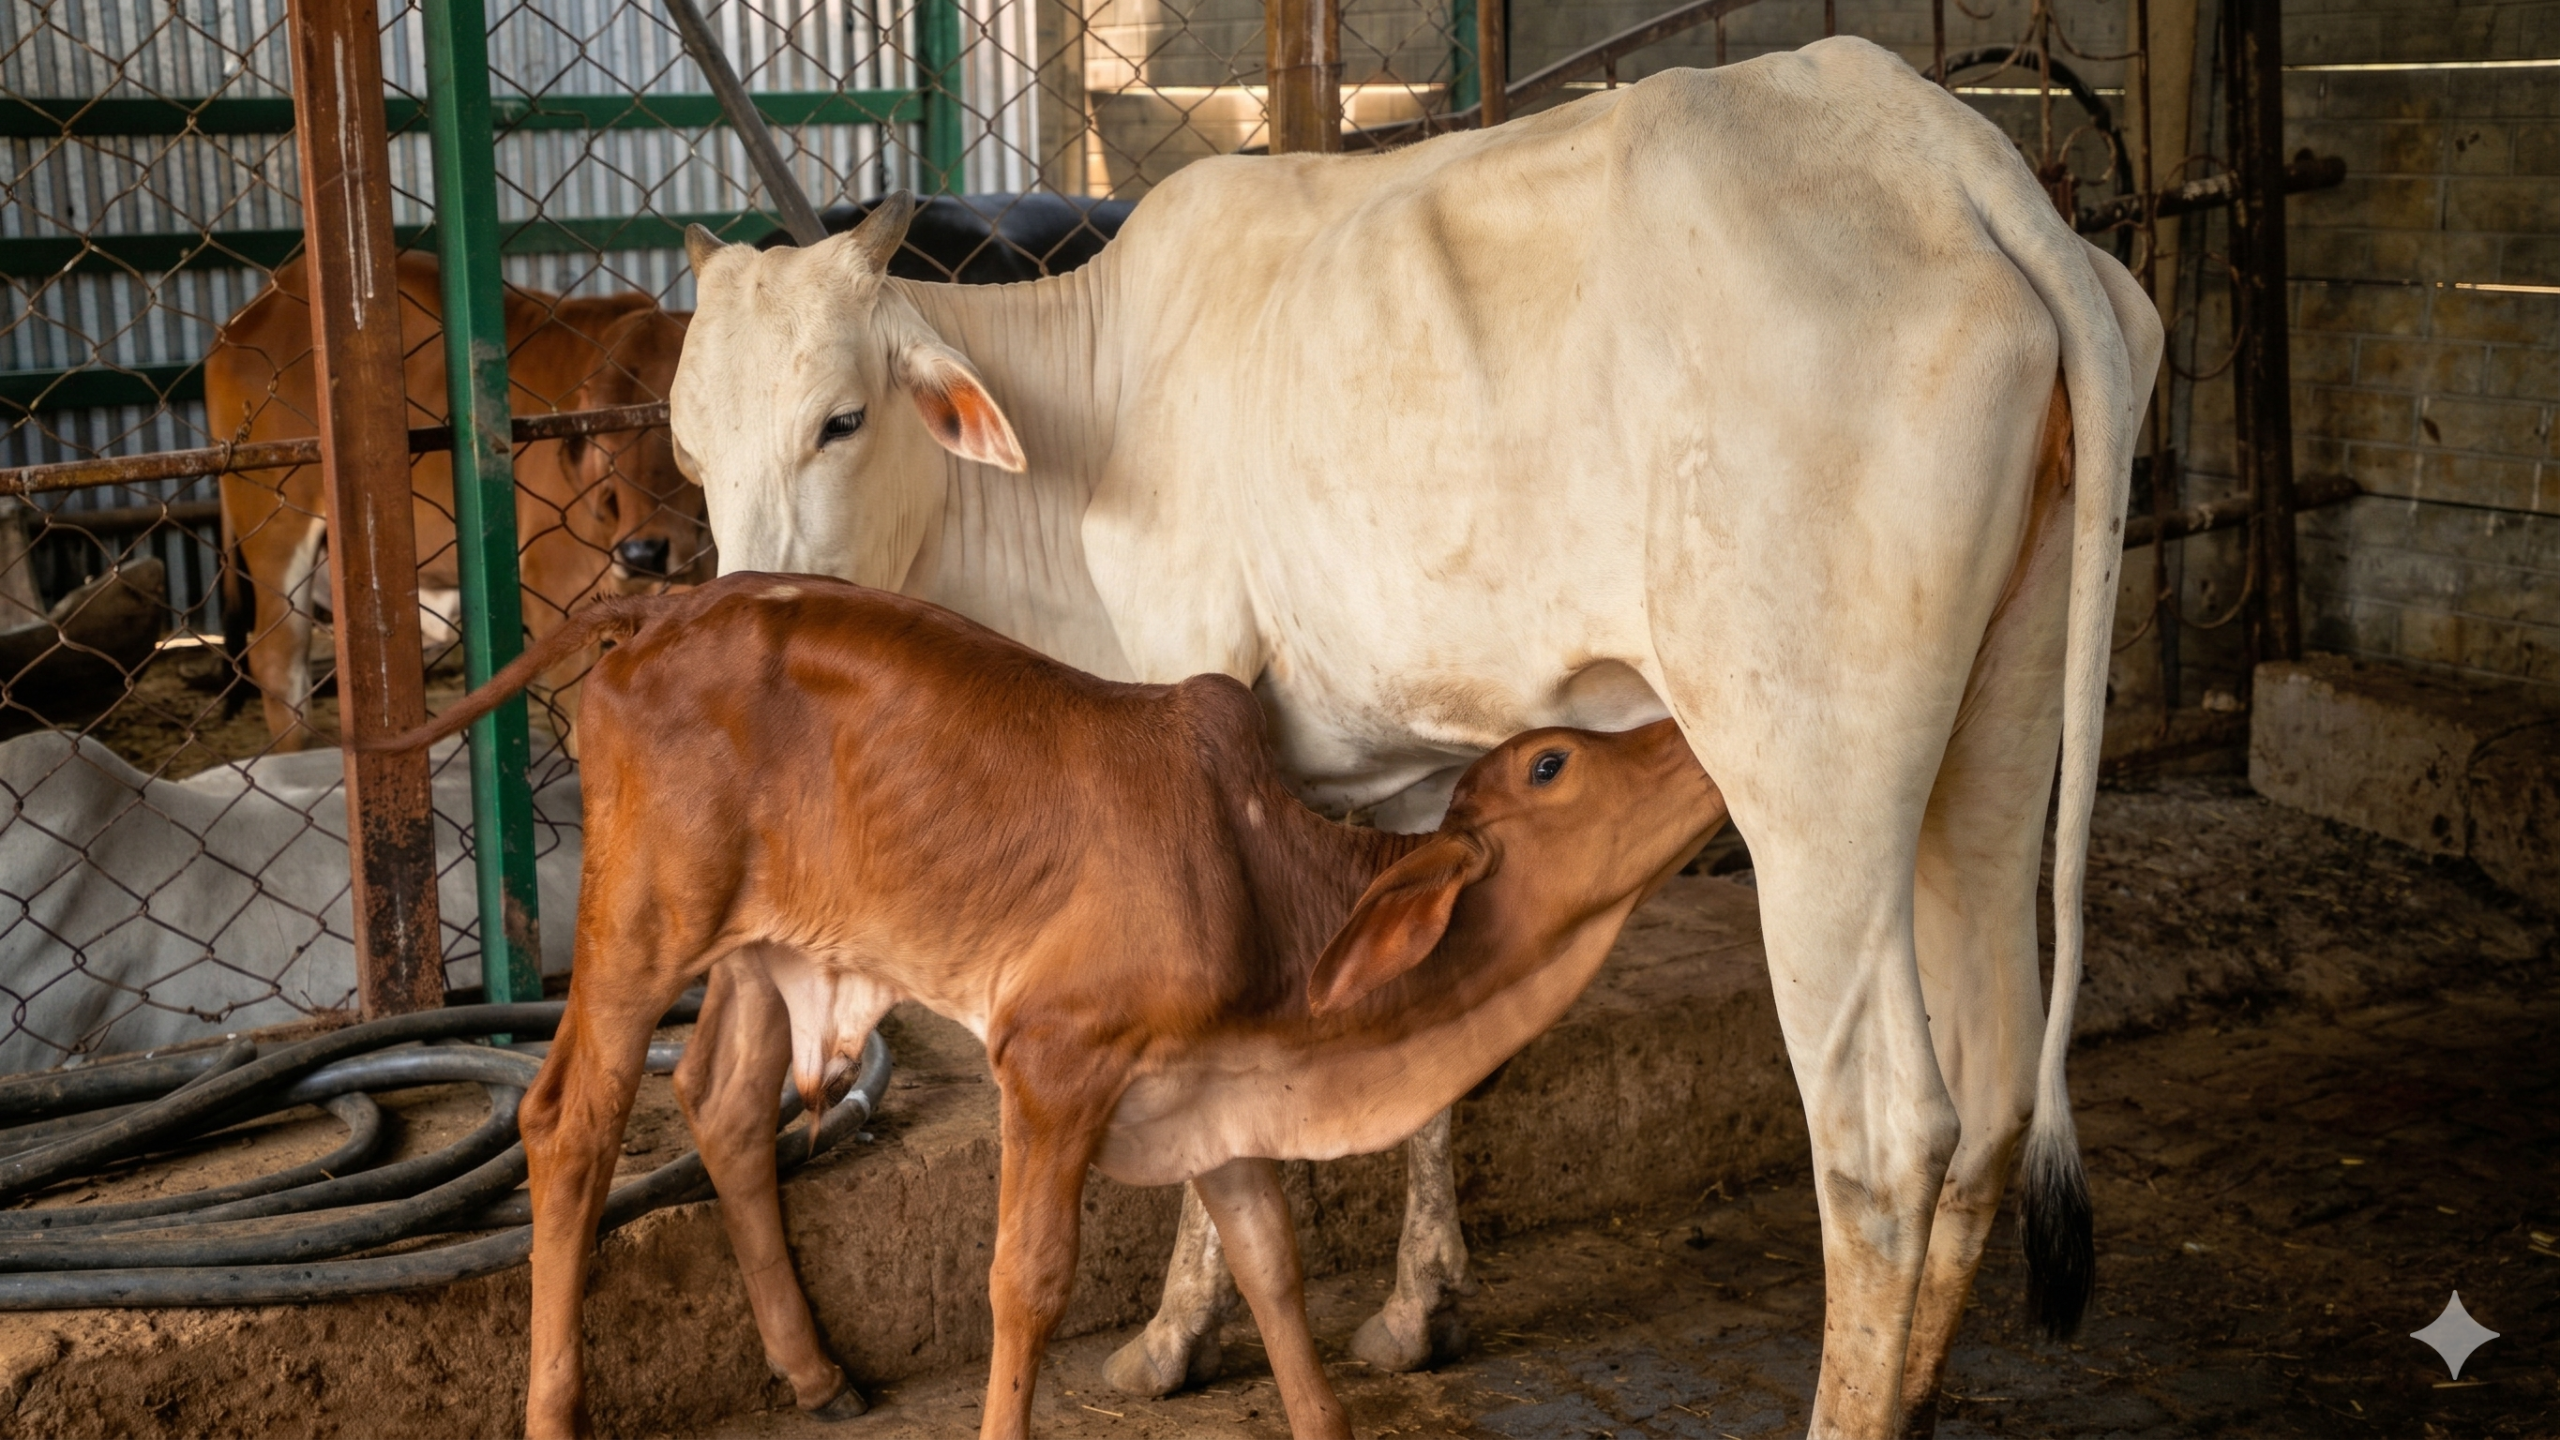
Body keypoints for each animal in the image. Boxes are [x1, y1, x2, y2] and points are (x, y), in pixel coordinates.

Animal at [204, 254, 705, 753]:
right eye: (605, 438)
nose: (643, 554)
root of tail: (243, 320)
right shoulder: (557, 593)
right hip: (278, 537)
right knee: (278, 663)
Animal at [364, 572, 1728, 1440]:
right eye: (1553, 763)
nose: (1700, 741)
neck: (1267, 881)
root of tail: (658, 604)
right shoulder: (1055, 1062)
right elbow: (1026, 1282)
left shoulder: (1214, 1092)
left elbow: (1272, 1268)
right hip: (644, 922)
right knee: (570, 1125)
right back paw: (558, 1409)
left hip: (762, 947)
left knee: (724, 1103)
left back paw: (814, 1375)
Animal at [664, 40, 2162, 1438]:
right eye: (686, 445)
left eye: (842, 419)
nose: (748, 604)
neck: (1090, 415)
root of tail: (1947, 157)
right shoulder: (1401, 769)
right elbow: (1423, 1043)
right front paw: (1417, 1308)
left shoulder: (1194, 717)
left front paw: (1169, 1340)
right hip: (1998, 734)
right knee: (1997, 1082)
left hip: (1812, 769)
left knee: (1887, 1133)